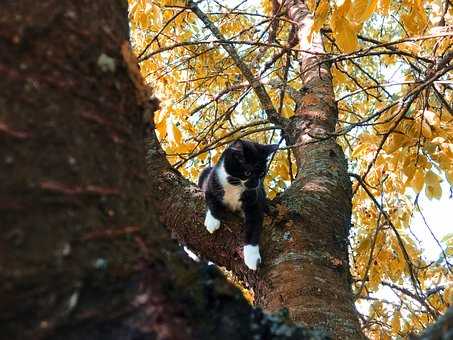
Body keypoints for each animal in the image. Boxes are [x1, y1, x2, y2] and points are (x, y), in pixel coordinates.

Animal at [199, 139, 278, 270]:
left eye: (262, 173)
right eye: (248, 172)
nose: (256, 184)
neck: (234, 183)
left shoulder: (254, 201)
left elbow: (253, 226)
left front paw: (252, 257)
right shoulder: (211, 183)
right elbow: (211, 200)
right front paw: (212, 222)